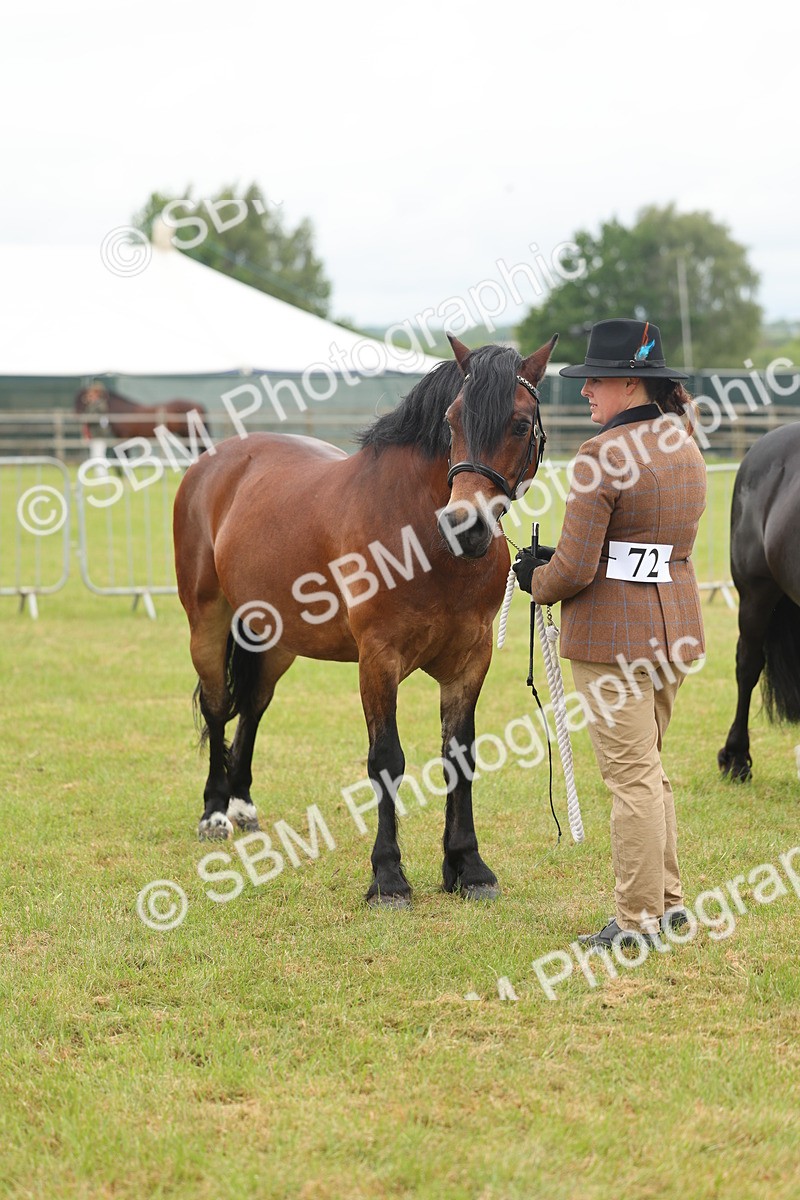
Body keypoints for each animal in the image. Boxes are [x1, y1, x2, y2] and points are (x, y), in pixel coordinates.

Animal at [173, 333, 558, 905]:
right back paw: (216, 812)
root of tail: (215, 462)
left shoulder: (471, 658)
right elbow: (386, 759)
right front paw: (388, 877)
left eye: (519, 424)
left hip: (274, 642)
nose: (465, 528)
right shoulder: (378, 658)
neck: (422, 538)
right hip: (208, 624)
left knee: (254, 708)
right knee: (220, 707)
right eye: (451, 420)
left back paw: (241, 806)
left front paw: (468, 867)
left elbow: (460, 755)